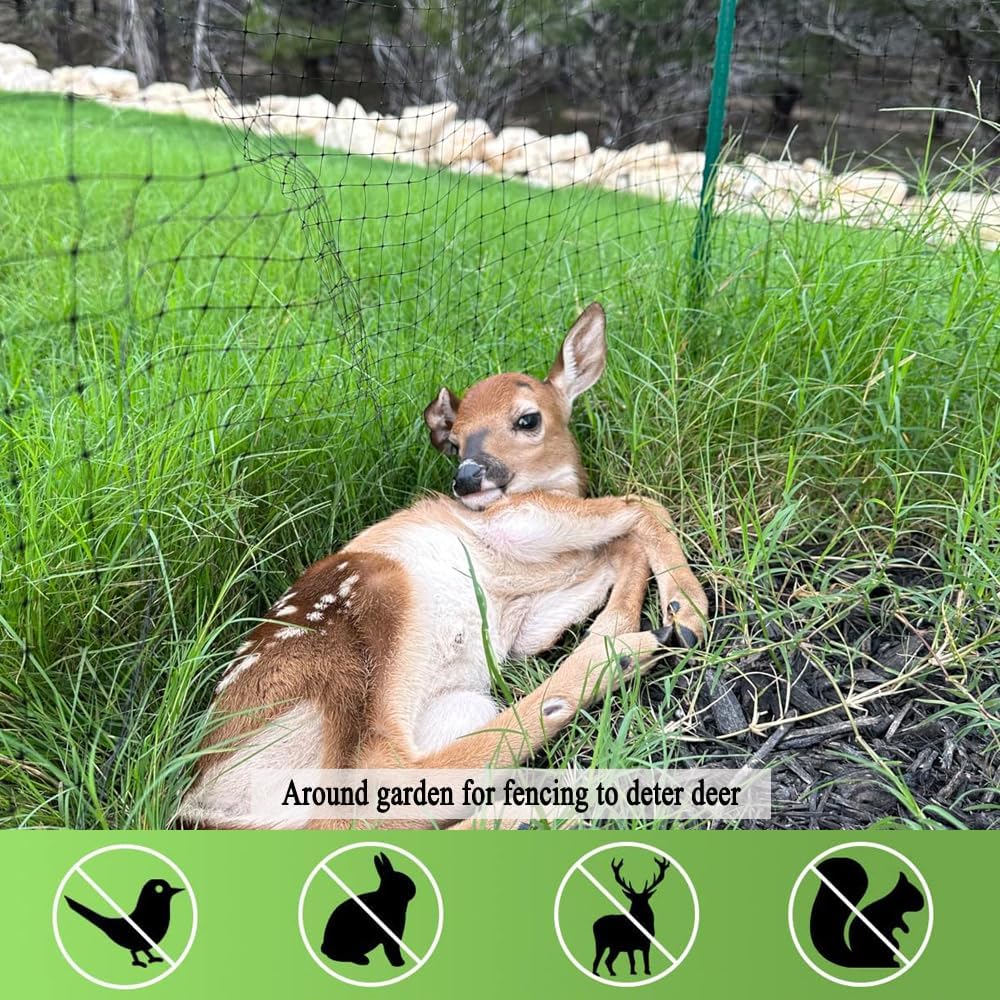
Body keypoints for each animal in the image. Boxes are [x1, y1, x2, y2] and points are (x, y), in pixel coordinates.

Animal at [175, 302, 709, 830]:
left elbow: (618, 549)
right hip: (369, 619)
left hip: (457, 703)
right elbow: (642, 506)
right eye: (454, 441)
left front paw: (651, 615)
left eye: (528, 420)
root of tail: (204, 806)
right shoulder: (515, 520)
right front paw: (688, 610)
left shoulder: (527, 617)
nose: (466, 477)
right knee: (377, 781)